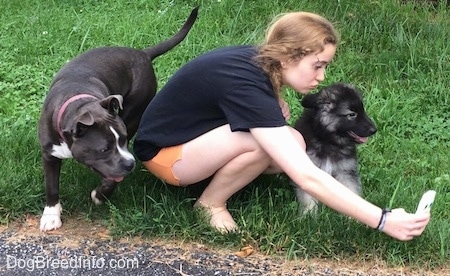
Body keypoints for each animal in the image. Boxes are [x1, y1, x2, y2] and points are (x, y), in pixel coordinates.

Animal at [39, 7, 199, 231]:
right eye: (104, 149)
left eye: (122, 140)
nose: (130, 163)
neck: (78, 103)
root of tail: (142, 53)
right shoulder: (49, 154)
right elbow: (51, 185)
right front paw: (51, 215)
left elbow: (112, 179)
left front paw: (101, 194)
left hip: (134, 112)